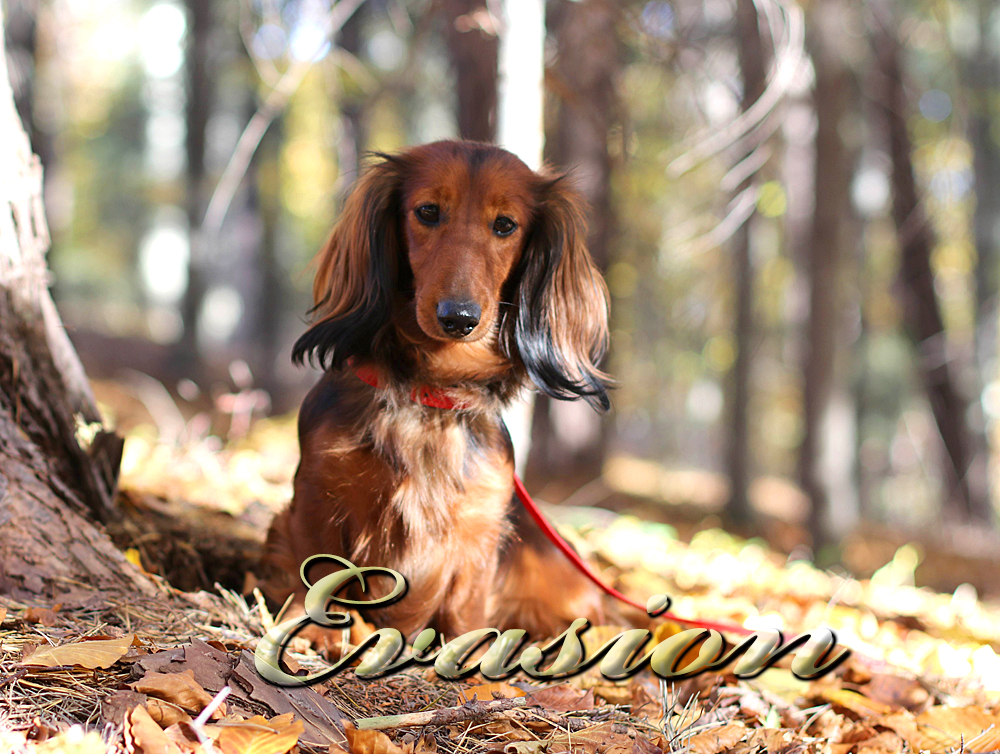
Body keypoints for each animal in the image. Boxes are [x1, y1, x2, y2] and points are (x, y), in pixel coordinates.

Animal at [263, 140, 614, 644]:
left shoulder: (478, 530)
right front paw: (314, 628)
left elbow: (465, 609)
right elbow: (316, 565)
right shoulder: (318, 489)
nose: (459, 318)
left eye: (505, 225)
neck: (430, 390)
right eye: (428, 212)